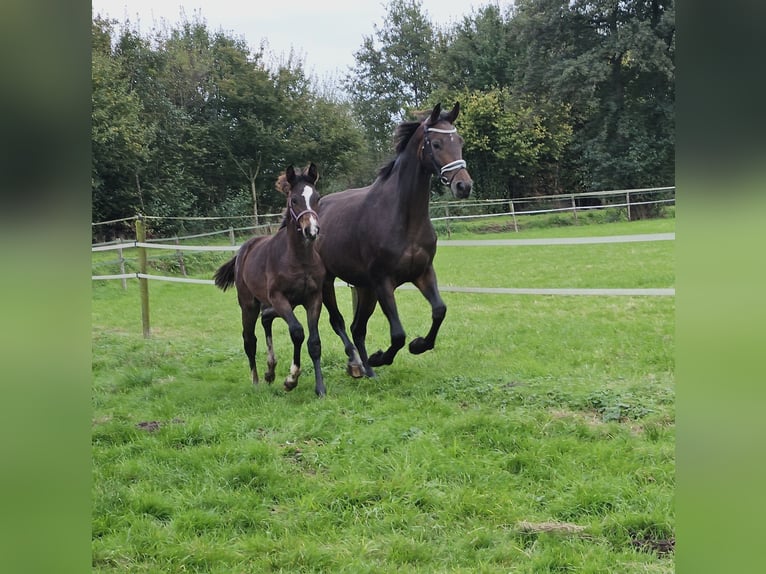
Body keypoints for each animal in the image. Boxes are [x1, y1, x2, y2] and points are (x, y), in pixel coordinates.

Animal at [214, 162, 328, 396]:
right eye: (294, 200)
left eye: (317, 197)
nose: (311, 230)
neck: (299, 259)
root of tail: (243, 250)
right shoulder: (278, 298)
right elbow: (297, 332)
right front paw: (291, 379)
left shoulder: (313, 298)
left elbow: (314, 342)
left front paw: (320, 388)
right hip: (249, 304)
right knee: (249, 339)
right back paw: (257, 380)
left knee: (266, 318)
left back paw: (270, 370)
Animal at [314, 103, 472, 380]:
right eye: (437, 143)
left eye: (460, 141)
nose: (463, 185)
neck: (403, 218)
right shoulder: (383, 281)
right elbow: (398, 334)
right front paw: (381, 357)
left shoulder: (423, 272)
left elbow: (439, 310)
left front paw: (418, 345)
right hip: (328, 282)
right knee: (339, 322)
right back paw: (358, 363)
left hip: (363, 288)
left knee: (357, 328)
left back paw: (368, 371)